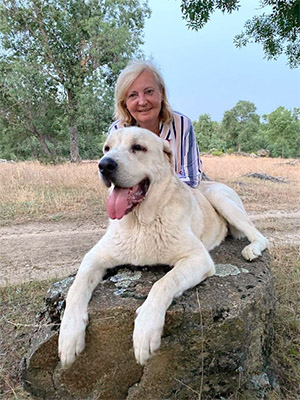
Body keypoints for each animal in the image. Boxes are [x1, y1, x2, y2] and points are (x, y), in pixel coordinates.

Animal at [58, 128, 268, 368]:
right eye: (107, 148)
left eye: (138, 147)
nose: (104, 165)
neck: (141, 223)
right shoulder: (94, 257)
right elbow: (76, 288)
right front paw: (69, 334)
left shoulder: (198, 258)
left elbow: (163, 283)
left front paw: (146, 329)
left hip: (221, 199)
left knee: (260, 235)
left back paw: (252, 249)